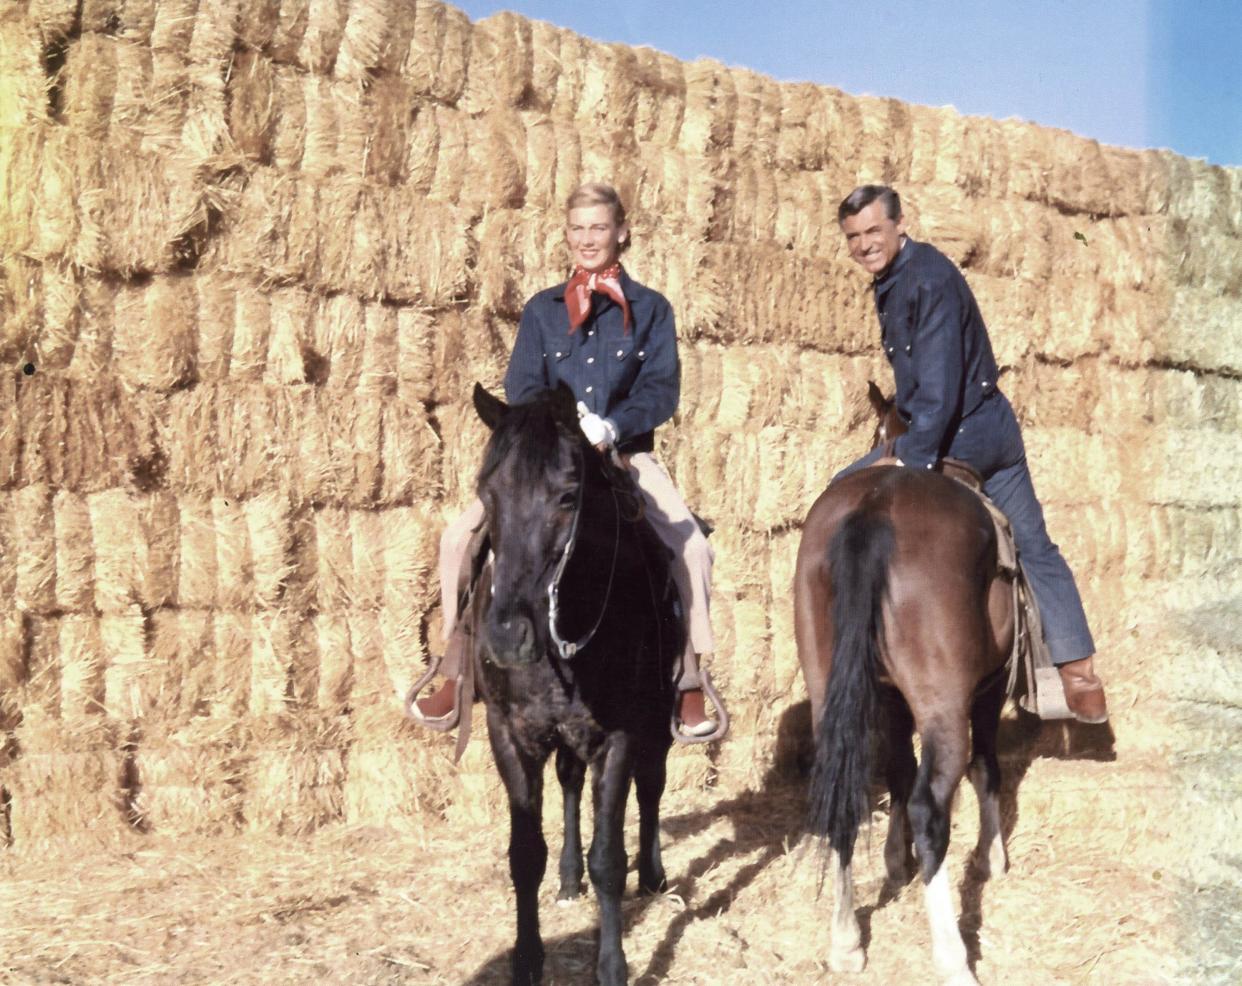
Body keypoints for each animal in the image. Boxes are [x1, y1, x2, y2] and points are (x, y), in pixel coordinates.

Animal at [466, 382, 680, 983]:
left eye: (566, 497)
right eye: (486, 493)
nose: (505, 636)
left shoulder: (621, 736)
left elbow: (609, 859)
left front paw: (612, 965)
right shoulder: (510, 735)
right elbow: (524, 855)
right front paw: (526, 960)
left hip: (657, 720)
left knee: (651, 786)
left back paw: (652, 874)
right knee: (568, 783)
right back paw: (567, 878)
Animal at [799, 384, 1013, 983]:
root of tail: (874, 506)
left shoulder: (888, 700)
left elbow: (895, 769)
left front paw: (896, 861)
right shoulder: (988, 688)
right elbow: (985, 767)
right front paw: (992, 856)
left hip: (829, 694)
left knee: (843, 795)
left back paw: (846, 942)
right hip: (946, 710)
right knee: (930, 805)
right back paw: (952, 956)